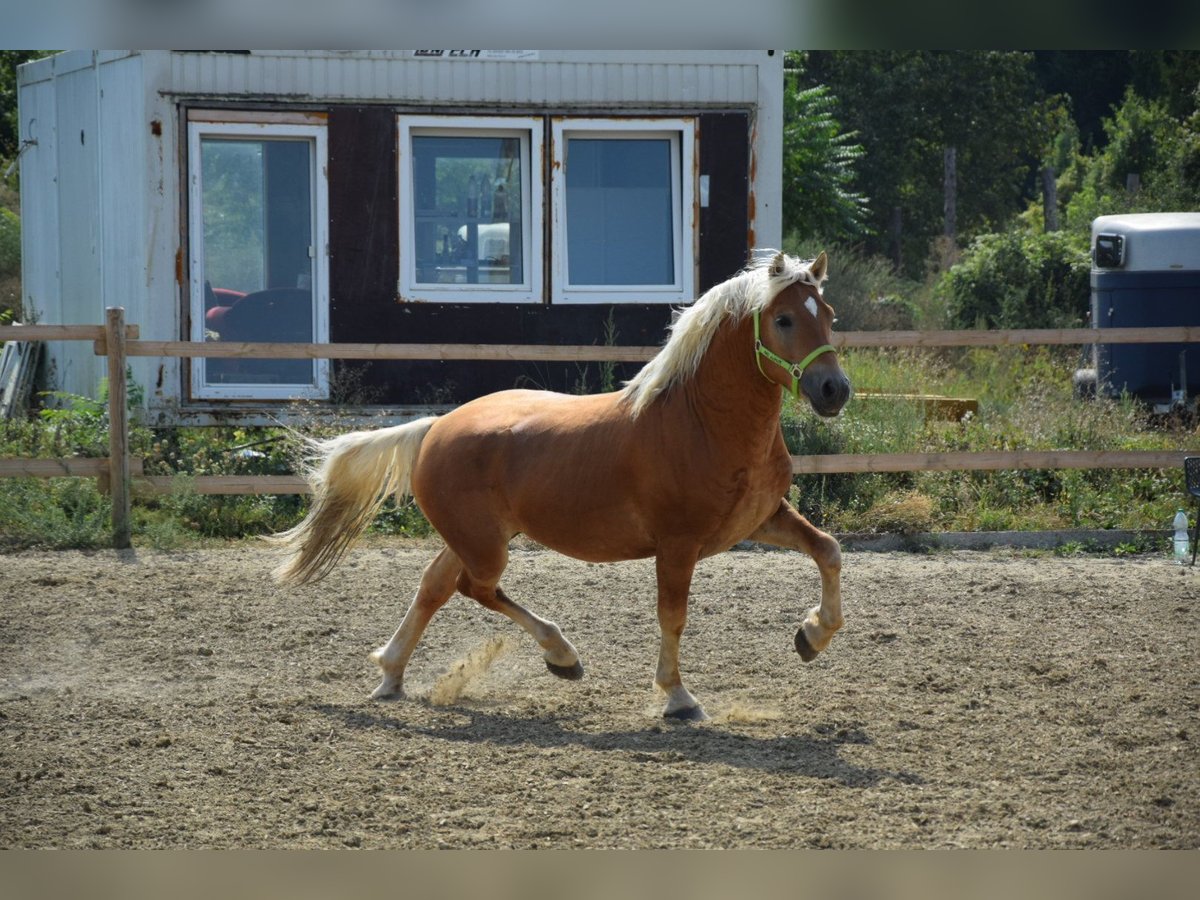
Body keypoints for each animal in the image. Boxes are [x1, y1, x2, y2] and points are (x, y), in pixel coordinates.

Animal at [272, 250, 854, 724]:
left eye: (827, 316)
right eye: (783, 318)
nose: (835, 390)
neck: (701, 422)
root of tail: (435, 427)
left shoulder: (760, 519)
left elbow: (829, 550)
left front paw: (811, 636)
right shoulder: (678, 543)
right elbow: (673, 616)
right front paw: (677, 699)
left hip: (475, 538)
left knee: (434, 585)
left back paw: (392, 675)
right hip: (485, 546)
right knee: (473, 589)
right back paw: (562, 655)